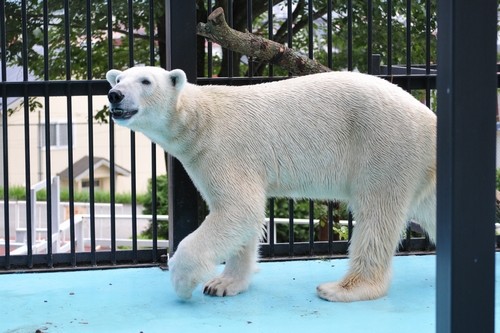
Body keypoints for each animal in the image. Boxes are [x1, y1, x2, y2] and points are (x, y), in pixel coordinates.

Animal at [106, 66, 438, 302]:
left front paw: (183, 281)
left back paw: (342, 288)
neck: (201, 119)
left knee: (376, 216)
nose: (114, 95)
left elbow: (238, 209)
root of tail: (429, 117)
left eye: (146, 81)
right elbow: (243, 219)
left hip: (384, 146)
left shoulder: (222, 149)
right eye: (118, 78)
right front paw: (224, 283)